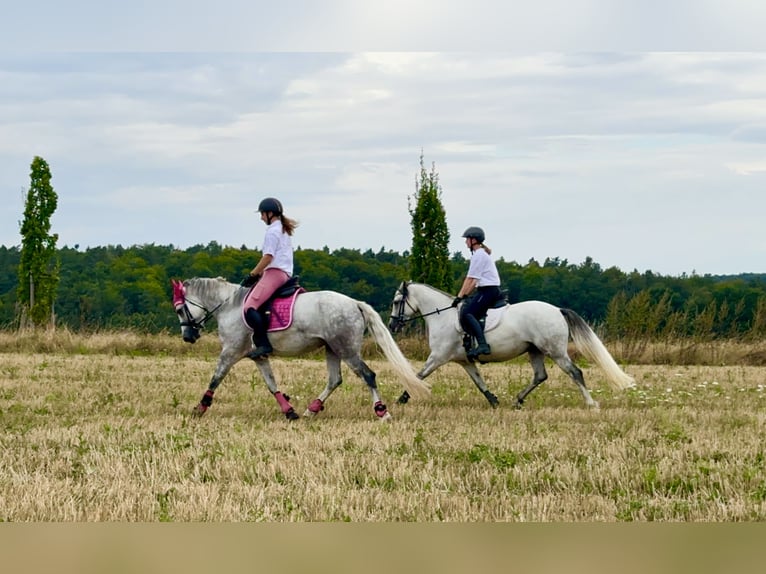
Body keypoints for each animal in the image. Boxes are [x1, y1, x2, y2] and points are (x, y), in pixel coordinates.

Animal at [173, 276, 432, 420]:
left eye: (180, 309)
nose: (188, 337)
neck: (230, 306)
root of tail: (354, 303)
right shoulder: (258, 357)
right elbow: (271, 384)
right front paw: (289, 411)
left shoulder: (230, 352)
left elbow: (215, 378)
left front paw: (200, 408)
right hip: (332, 349)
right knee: (335, 380)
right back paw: (312, 409)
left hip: (346, 349)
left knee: (367, 375)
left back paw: (382, 412)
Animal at [390, 282, 636, 410]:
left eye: (396, 302)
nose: (392, 325)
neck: (443, 316)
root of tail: (557, 310)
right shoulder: (464, 361)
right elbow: (479, 382)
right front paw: (493, 401)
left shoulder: (438, 357)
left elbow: (418, 375)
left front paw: (402, 398)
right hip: (535, 351)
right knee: (540, 376)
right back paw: (517, 401)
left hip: (555, 351)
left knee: (575, 372)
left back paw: (590, 403)